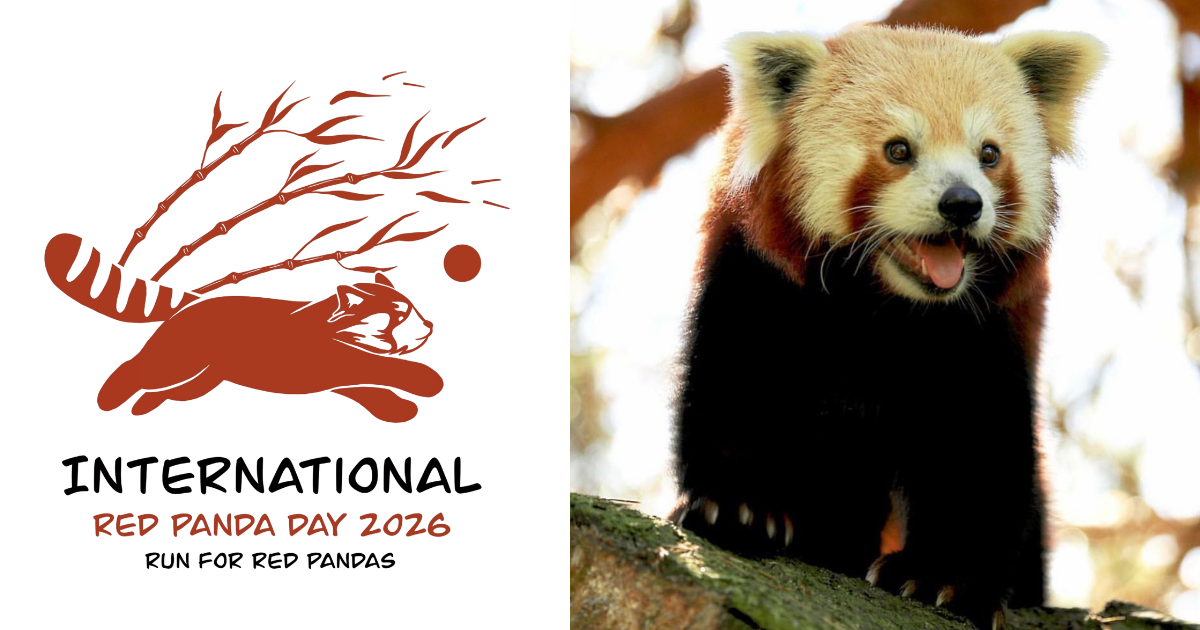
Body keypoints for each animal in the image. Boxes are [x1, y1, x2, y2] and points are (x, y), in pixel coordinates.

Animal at [671, 26, 1104, 630]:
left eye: (989, 154)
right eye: (899, 150)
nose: (963, 203)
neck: (885, 309)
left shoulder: (988, 329)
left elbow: (976, 440)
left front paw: (946, 576)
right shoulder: (754, 273)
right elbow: (737, 382)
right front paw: (739, 507)